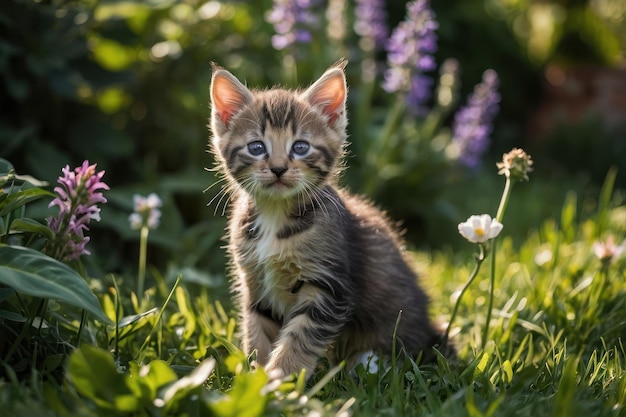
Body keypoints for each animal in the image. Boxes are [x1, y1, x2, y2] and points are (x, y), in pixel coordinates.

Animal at [207, 60, 442, 376]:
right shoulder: (256, 284)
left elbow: (299, 338)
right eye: (256, 147)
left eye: (300, 147)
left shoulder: (328, 286)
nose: (278, 168)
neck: (275, 215)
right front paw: (255, 375)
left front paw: (281, 378)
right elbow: (258, 334)